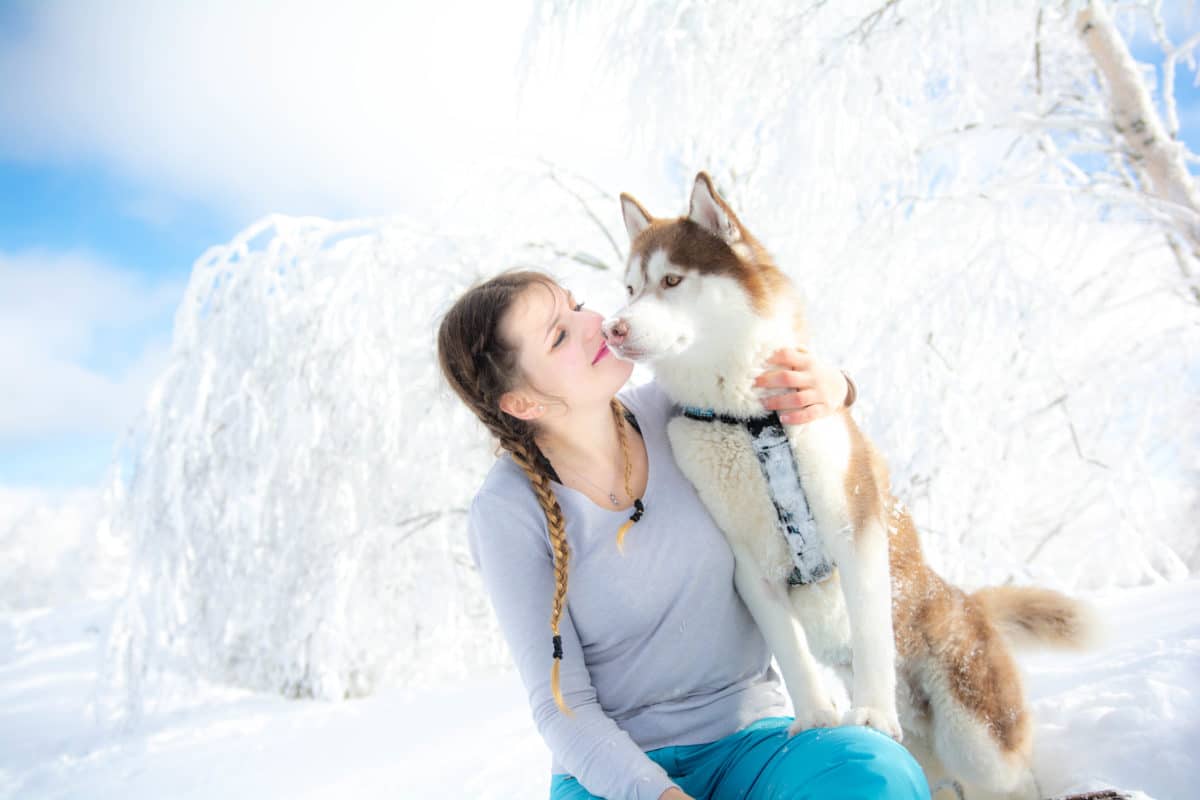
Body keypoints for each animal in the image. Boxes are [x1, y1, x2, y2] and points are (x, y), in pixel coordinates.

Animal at [604, 173, 1094, 800]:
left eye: (671, 280)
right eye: (629, 288)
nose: (613, 327)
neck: (748, 418)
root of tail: (969, 600)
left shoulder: (854, 528)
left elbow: (869, 631)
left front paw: (872, 714)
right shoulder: (747, 566)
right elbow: (791, 654)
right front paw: (817, 718)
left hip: (979, 740)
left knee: (1010, 774)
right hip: (936, 759)